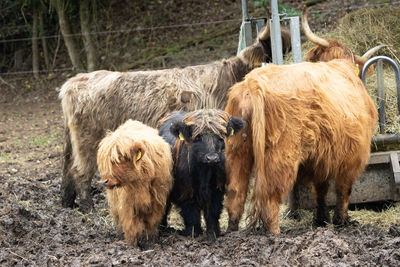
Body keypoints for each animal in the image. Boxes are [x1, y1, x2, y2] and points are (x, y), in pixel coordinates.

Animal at [59, 25, 290, 214]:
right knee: (80, 171)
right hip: (88, 140)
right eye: (271, 55)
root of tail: (74, 81)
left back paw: (67, 202)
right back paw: (88, 208)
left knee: (68, 167)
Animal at [97, 120, 173, 248]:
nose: (104, 181)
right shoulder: (127, 203)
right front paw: (131, 245)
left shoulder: (157, 200)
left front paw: (151, 241)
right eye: (107, 161)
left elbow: (152, 223)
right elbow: (131, 225)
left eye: (120, 158)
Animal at [159, 110, 244, 242]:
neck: (205, 172)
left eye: (221, 137)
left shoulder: (217, 192)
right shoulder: (187, 193)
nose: (212, 158)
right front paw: (194, 234)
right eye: (198, 137)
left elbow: (213, 213)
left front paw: (213, 234)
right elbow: (191, 215)